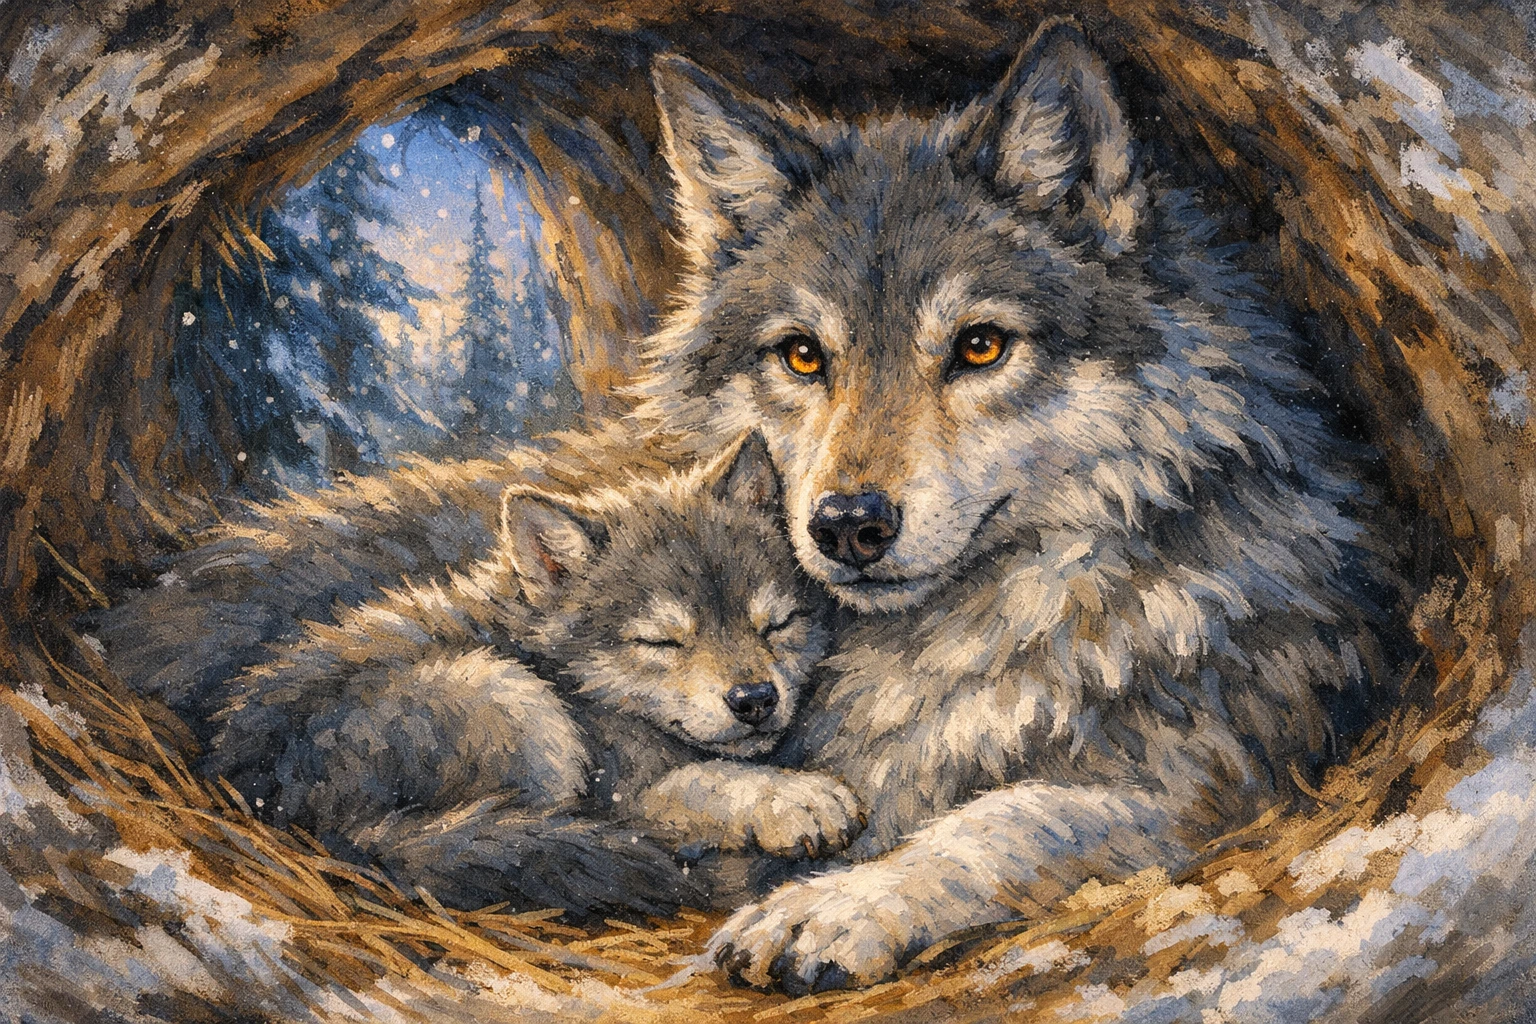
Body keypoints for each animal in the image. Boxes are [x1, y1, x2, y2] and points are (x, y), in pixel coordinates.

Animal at [189, 434, 860, 919]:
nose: (755, 699)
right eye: (662, 641)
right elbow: (705, 780)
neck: (578, 685)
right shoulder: (616, 778)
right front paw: (793, 799)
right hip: (511, 698)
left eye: (776, 625)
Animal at [632, 20, 1394, 991]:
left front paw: (841, 905)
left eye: (981, 346)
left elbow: (1009, 816)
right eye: (803, 355)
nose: (847, 524)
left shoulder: (1219, 777)